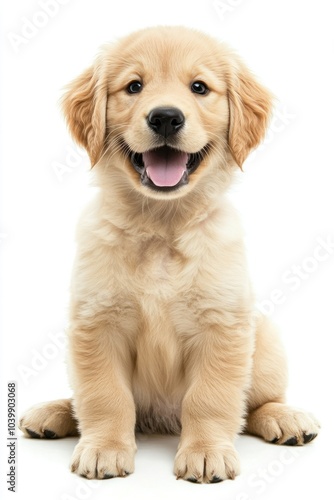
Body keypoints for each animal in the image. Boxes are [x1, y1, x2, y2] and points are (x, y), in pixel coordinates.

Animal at [19, 26, 320, 484]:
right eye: (133, 86)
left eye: (199, 87)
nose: (165, 117)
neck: (162, 226)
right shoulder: (96, 321)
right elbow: (104, 395)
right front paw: (104, 448)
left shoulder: (222, 324)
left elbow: (211, 398)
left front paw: (206, 453)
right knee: (81, 399)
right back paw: (53, 413)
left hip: (264, 339)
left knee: (254, 404)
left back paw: (284, 418)